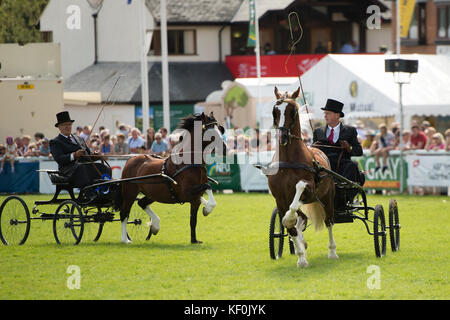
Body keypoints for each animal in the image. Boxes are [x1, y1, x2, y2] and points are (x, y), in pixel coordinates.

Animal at [118, 114, 227, 244]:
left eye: (220, 129)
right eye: (210, 132)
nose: (224, 149)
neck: (189, 163)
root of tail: (130, 159)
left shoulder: (194, 198)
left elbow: (193, 220)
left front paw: (194, 240)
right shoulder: (186, 192)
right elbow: (208, 187)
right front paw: (207, 209)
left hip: (152, 194)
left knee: (141, 203)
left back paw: (155, 225)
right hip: (130, 193)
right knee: (124, 214)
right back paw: (125, 239)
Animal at [268, 86, 338, 266]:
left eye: (293, 111)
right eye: (275, 111)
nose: (283, 137)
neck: (288, 162)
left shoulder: (310, 190)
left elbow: (297, 192)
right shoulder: (279, 199)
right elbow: (290, 227)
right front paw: (301, 258)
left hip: (328, 197)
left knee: (329, 221)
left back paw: (332, 252)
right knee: (303, 219)